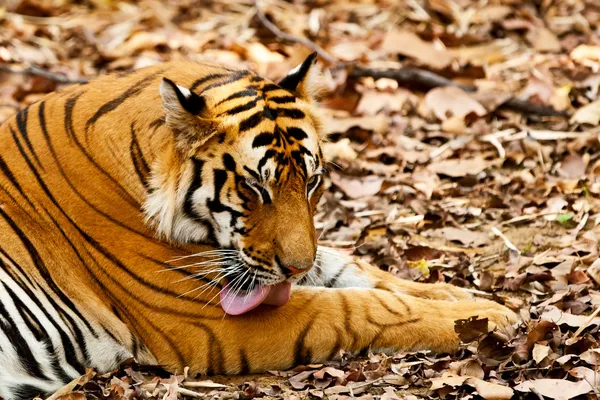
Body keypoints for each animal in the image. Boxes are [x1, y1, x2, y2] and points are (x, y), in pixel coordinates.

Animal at [0, 54, 516, 400]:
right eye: (255, 188)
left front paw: (472, 298)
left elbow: (361, 273)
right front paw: (486, 317)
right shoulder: (201, 314)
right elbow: (358, 306)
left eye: (311, 182)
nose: (295, 269)